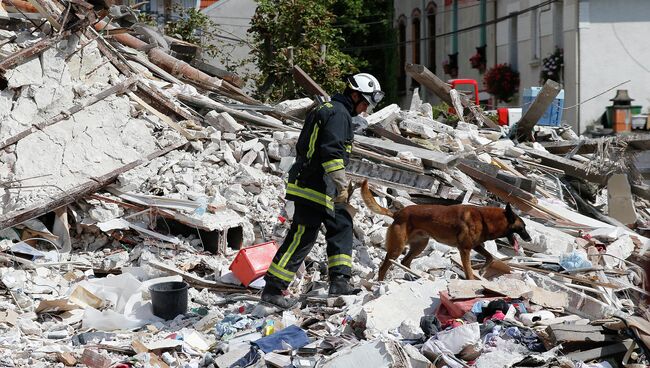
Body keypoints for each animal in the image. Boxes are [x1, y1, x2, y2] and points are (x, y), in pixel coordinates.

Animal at [360, 180, 532, 280]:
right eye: (522, 227)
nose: (529, 239)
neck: (485, 218)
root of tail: (397, 213)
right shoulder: (465, 249)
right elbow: (469, 271)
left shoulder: (475, 246)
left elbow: (490, 257)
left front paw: (483, 270)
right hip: (397, 247)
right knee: (384, 267)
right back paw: (381, 283)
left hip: (420, 245)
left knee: (405, 261)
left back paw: (415, 276)